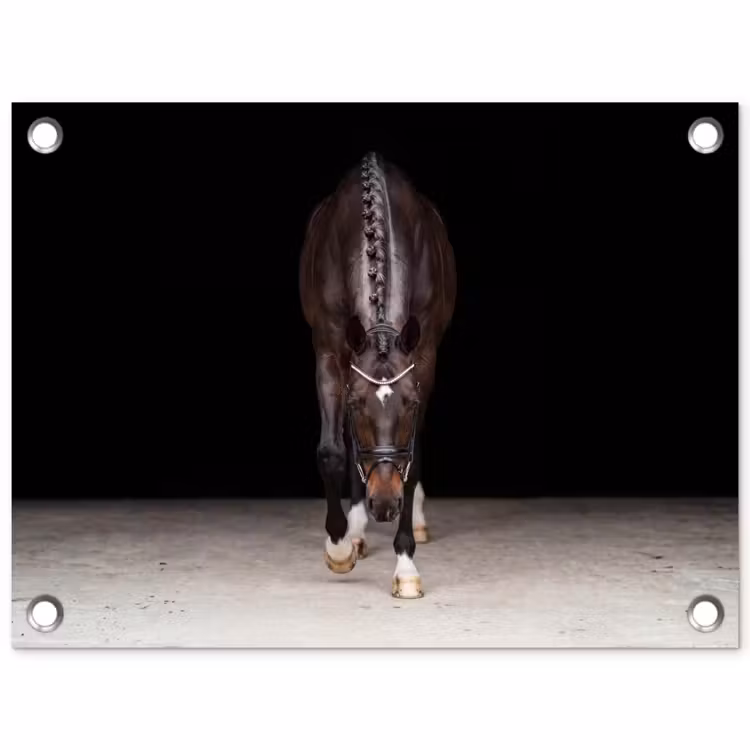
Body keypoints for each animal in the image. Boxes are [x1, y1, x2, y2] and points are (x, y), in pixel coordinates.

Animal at [299, 152, 456, 598]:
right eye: (355, 405)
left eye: (411, 405)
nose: (384, 504)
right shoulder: (329, 352)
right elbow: (332, 451)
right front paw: (339, 547)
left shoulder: (424, 358)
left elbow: (411, 461)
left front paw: (405, 566)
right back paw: (355, 531)